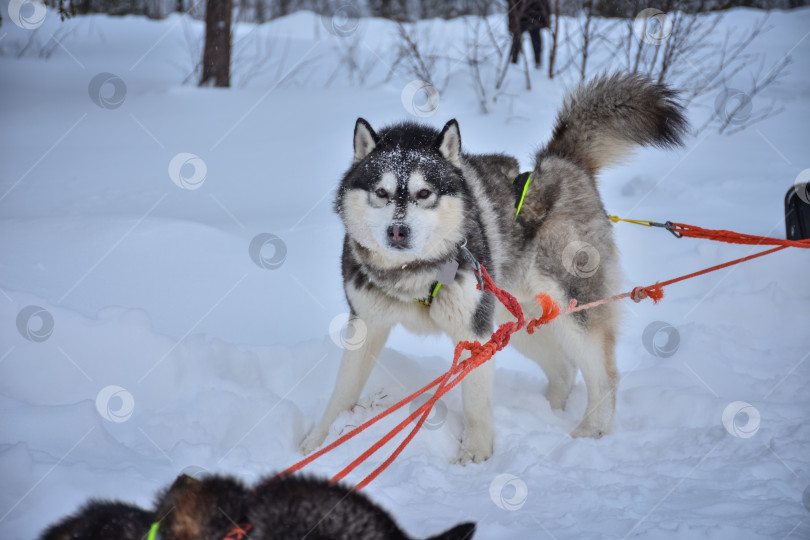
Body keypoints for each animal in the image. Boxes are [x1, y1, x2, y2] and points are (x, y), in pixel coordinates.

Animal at [300, 71, 684, 462]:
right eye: (381, 192)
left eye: (424, 194)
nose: (397, 230)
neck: (412, 273)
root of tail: (560, 162)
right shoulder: (365, 324)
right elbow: (342, 392)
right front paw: (319, 443)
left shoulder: (475, 334)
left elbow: (476, 403)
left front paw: (475, 454)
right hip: (514, 318)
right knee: (563, 368)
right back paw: (547, 411)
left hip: (571, 309)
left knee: (604, 376)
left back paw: (590, 432)